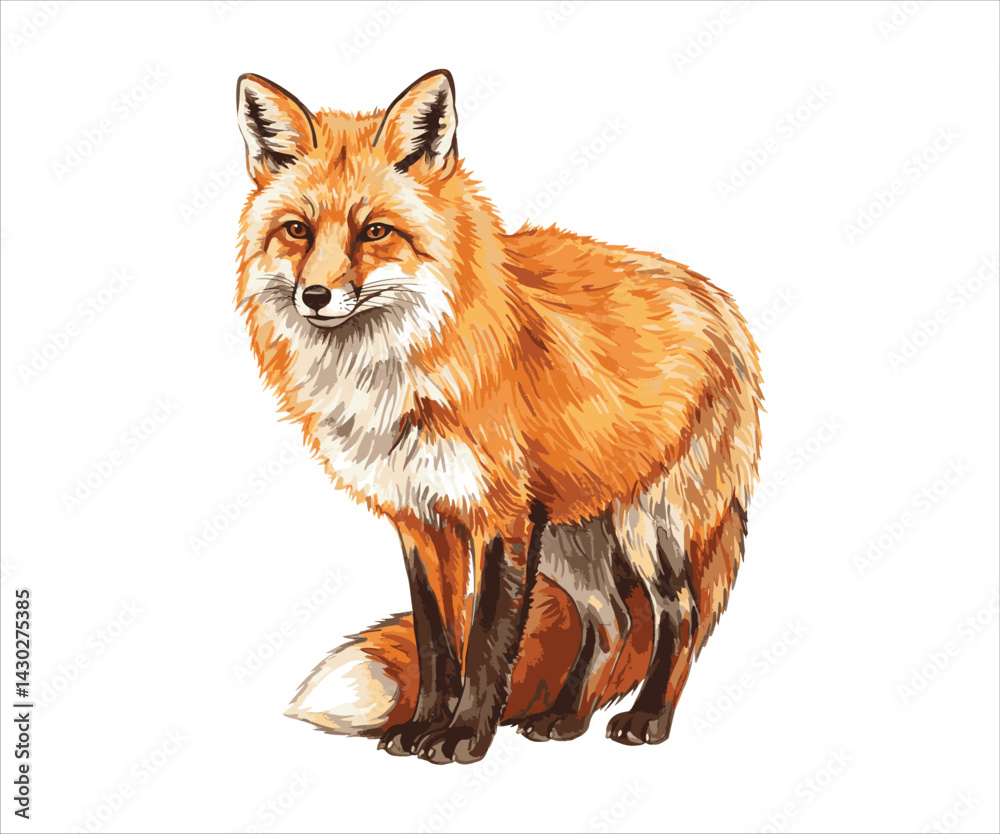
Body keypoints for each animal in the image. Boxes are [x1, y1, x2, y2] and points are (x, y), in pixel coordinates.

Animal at [236, 69, 762, 765]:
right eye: (297, 230)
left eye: (374, 231)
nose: (315, 296)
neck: (395, 374)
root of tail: (719, 301)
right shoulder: (422, 520)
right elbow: (438, 641)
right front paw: (421, 728)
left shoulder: (501, 515)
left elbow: (487, 642)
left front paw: (462, 737)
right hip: (572, 537)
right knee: (613, 620)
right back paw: (565, 718)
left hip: (650, 526)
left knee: (680, 613)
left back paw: (648, 719)